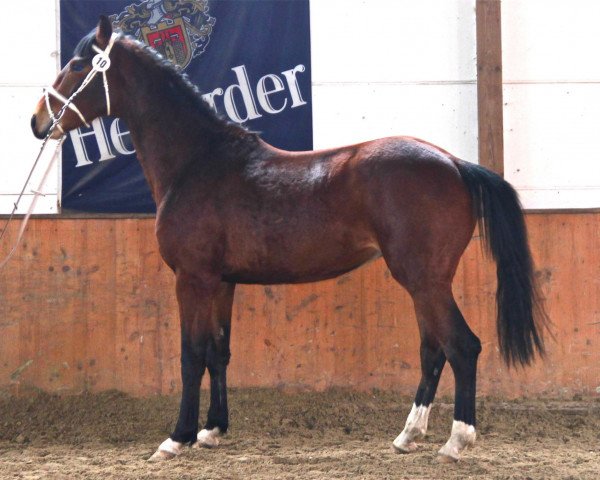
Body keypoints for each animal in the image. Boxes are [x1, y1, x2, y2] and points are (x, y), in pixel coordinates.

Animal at [31, 17, 548, 462]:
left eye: (76, 65)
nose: (37, 120)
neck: (197, 161)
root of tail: (455, 163)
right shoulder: (222, 282)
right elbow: (219, 352)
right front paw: (212, 430)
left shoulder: (192, 279)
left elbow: (191, 355)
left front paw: (176, 439)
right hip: (426, 284)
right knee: (434, 349)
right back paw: (407, 435)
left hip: (424, 280)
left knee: (463, 346)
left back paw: (455, 442)